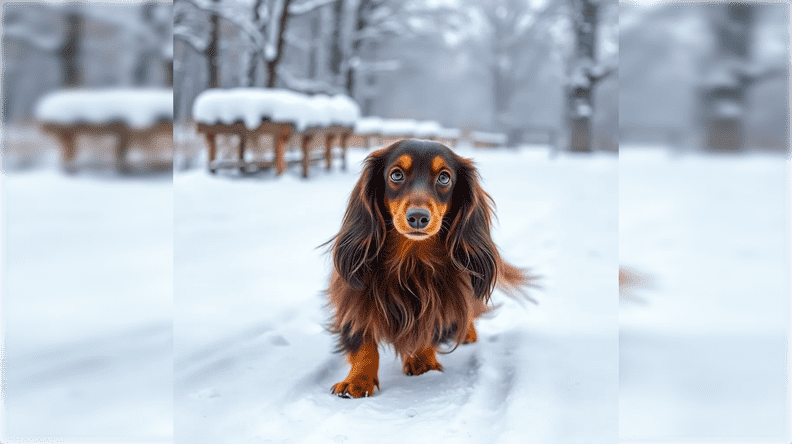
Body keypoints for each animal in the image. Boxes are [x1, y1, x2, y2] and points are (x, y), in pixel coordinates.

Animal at [324, 140, 536, 398]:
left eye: (444, 178)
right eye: (396, 174)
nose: (417, 217)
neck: (410, 260)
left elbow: (430, 325)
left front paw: (422, 361)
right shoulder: (354, 297)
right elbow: (362, 341)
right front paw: (358, 380)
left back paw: (467, 332)